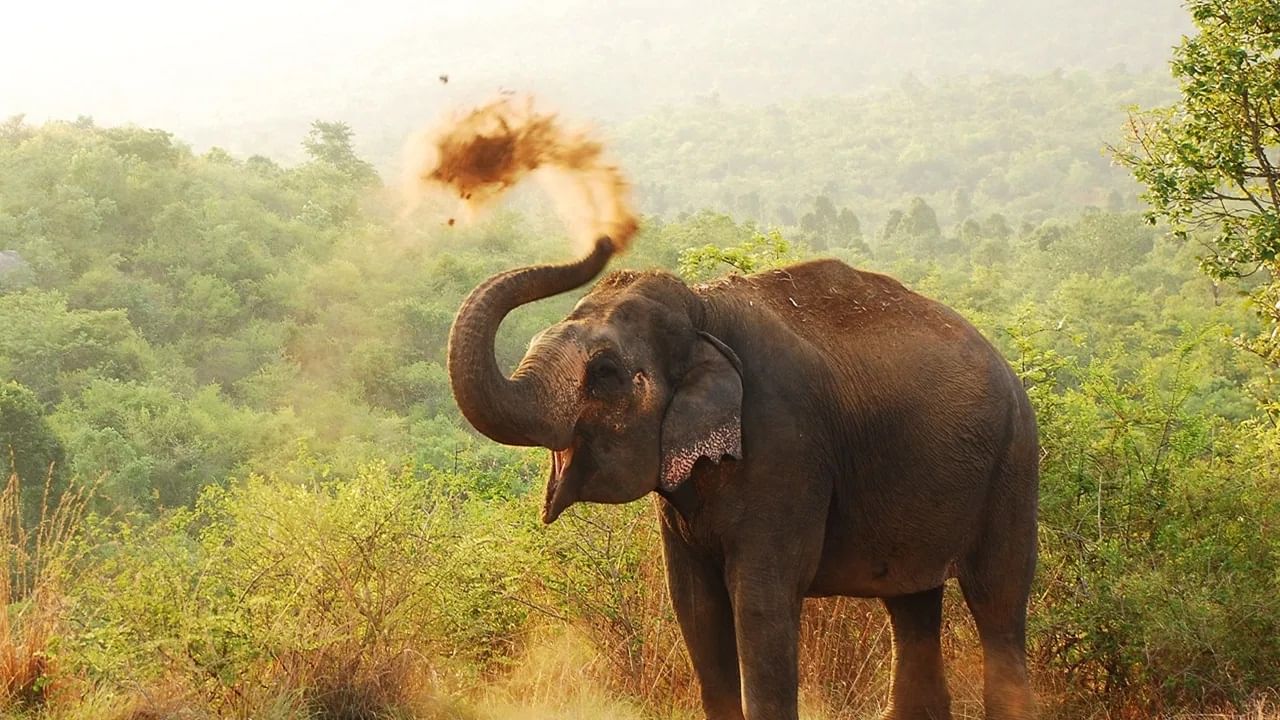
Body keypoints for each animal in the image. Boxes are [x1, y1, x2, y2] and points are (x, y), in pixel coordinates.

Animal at [447, 237, 1039, 720]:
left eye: (606, 373)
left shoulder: (786, 445)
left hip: (1014, 462)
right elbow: (693, 603)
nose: (605, 238)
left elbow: (761, 598)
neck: (704, 312)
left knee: (998, 599)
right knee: (912, 602)